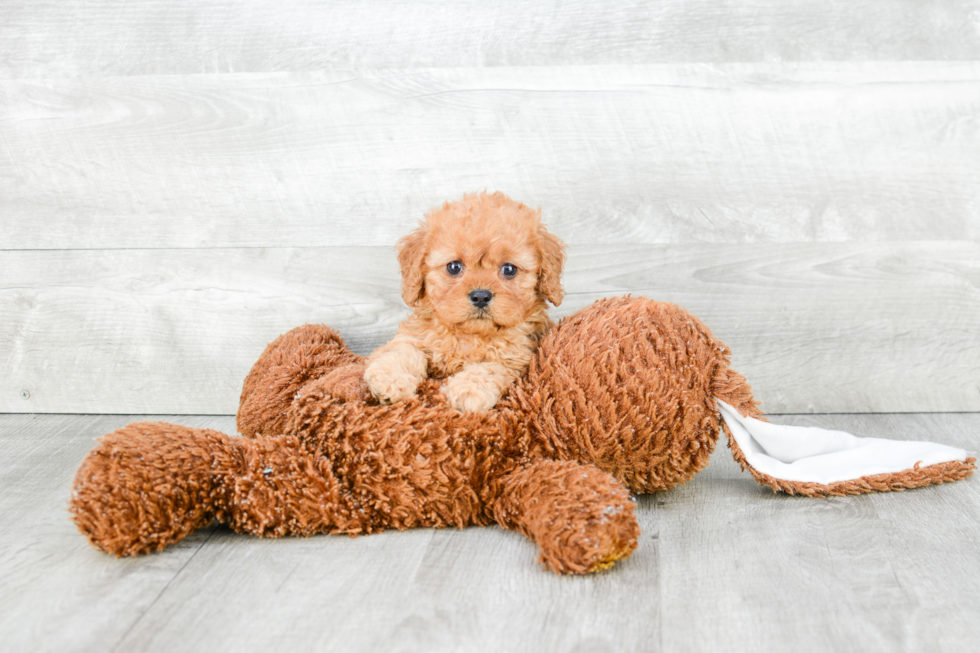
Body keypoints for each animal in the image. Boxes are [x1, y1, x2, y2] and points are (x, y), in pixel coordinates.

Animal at [364, 191, 568, 410]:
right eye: (454, 267)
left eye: (509, 269)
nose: (480, 296)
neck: (469, 335)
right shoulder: (411, 337)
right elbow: (404, 351)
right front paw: (390, 380)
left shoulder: (514, 358)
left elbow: (488, 368)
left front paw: (469, 390)